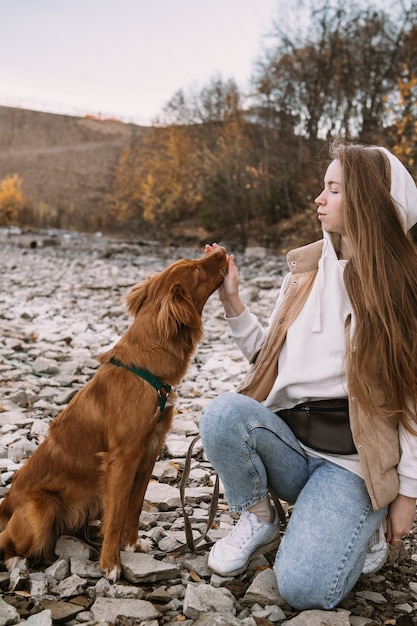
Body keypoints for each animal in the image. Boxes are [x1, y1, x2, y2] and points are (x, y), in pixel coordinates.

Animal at [0, 245, 228, 580]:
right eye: (197, 270)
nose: (222, 250)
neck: (147, 372)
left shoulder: (149, 451)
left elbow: (133, 506)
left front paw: (131, 545)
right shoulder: (122, 458)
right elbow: (117, 512)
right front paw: (110, 564)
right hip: (39, 511)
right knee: (7, 543)